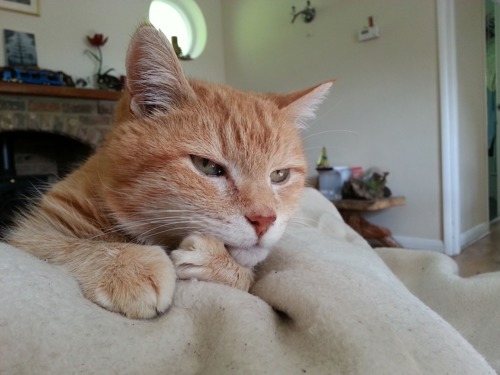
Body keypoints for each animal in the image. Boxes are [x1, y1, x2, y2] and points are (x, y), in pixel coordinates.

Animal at [5, 25, 332, 318]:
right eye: (207, 166)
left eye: (279, 175)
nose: (264, 220)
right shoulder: (31, 233)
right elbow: (66, 245)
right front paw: (127, 265)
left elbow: (250, 279)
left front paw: (222, 266)